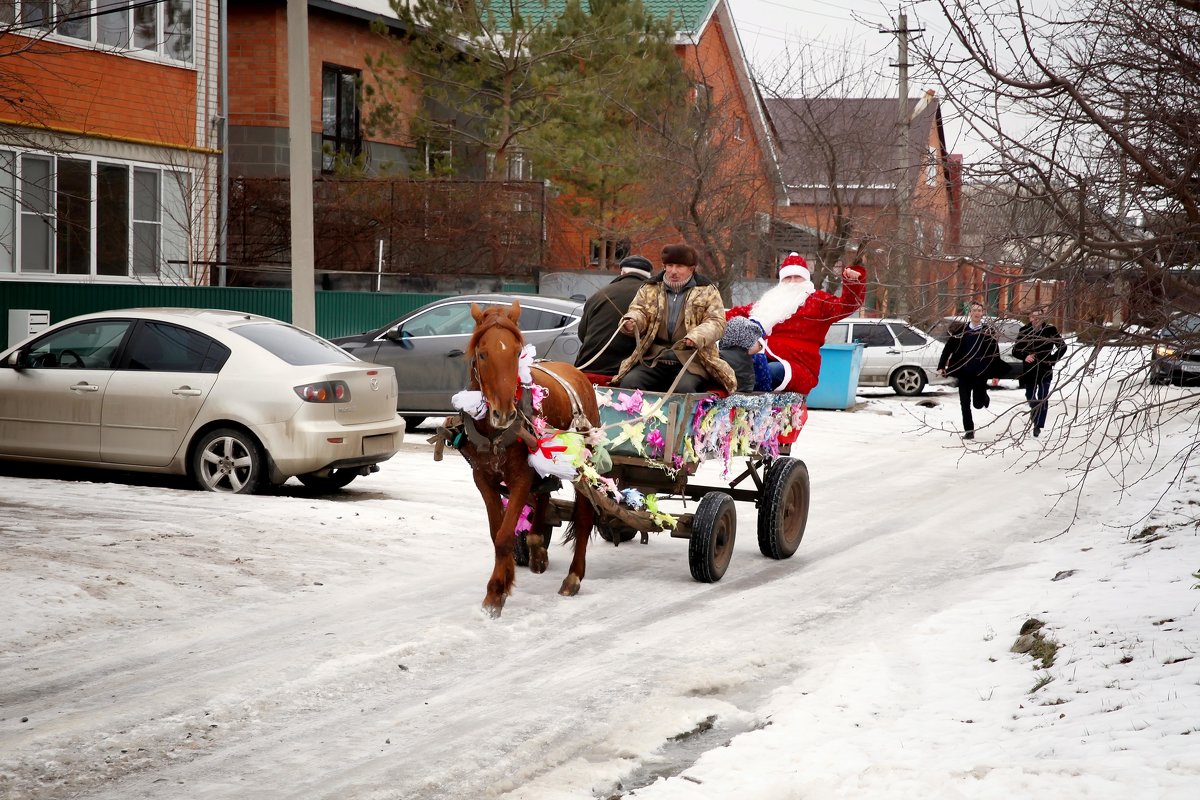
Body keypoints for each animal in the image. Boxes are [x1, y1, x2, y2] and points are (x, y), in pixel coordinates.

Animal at [465, 299, 604, 618]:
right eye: (482, 354)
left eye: (517, 353)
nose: (505, 413)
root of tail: (576, 372)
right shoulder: (483, 477)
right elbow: (496, 532)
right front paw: (504, 580)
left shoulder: (519, 477)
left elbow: (504, 536)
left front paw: (496, 592)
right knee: (543, 496)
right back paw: (537, 545)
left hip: (582, 463)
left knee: (584, 517)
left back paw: (573, 576)